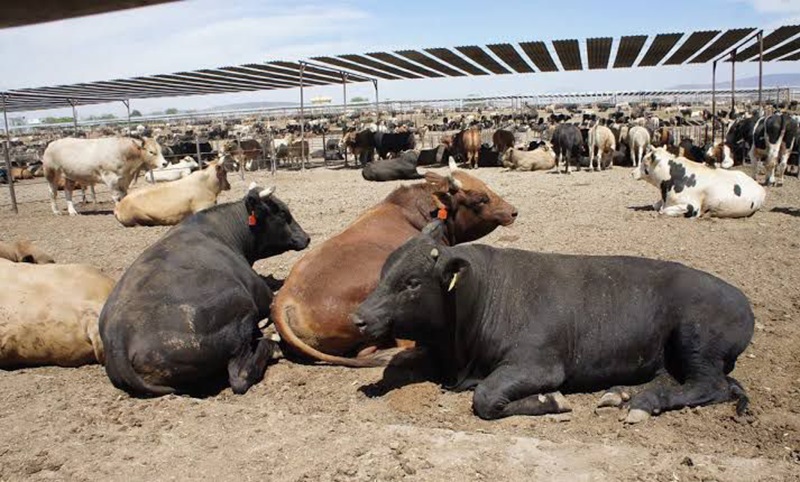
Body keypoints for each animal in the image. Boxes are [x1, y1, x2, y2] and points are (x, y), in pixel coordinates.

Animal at [99, 183, 310, 398]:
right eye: (282, 213)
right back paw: (272, 345)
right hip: (240, 308)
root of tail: (119, 338)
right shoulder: (263, 297)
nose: (307, 238)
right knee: (239, 377)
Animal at [354, 222, 752, 422]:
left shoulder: (539, 364)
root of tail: (741, 300)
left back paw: (643, 403)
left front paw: (552, 401)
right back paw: (623, 394)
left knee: (711, 385)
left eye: (412, 282)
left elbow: (486, 398)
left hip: (696, 341)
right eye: (383, 272)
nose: (358, 318)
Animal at [632, 145, 768, 217]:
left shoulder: (692, 207)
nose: (632, 172)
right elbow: (656, 206)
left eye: (644, 162)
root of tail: (758, 185)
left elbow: (663, 211)